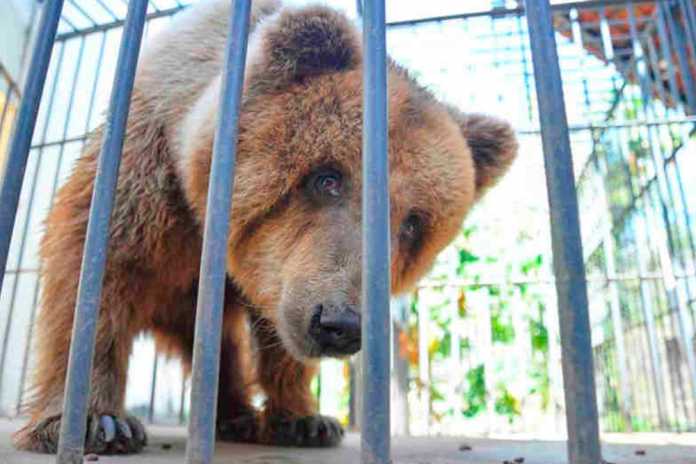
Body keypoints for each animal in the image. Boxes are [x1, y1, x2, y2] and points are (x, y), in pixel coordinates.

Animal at [14, 0, 516, 456]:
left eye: (413, 222)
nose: (341, 323)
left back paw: (234, 415)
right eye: (327, 178)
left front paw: (304, 419)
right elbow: (93, 275)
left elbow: (276, 333)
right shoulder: (145, 175)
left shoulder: (280, 275)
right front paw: (94, 421)